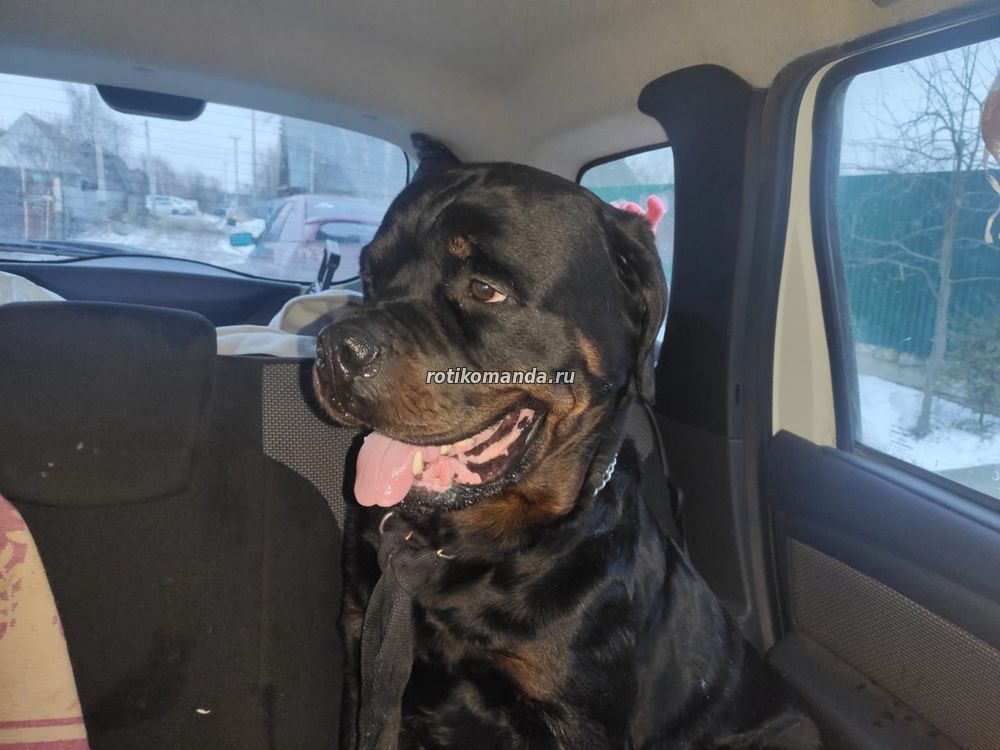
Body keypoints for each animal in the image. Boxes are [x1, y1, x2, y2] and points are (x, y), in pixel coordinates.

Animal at [313, 160, 824, 749]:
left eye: (484, 289)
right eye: (369, 277)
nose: (336, 349)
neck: (458, 551)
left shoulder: (573, 715)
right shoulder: (363, 660)